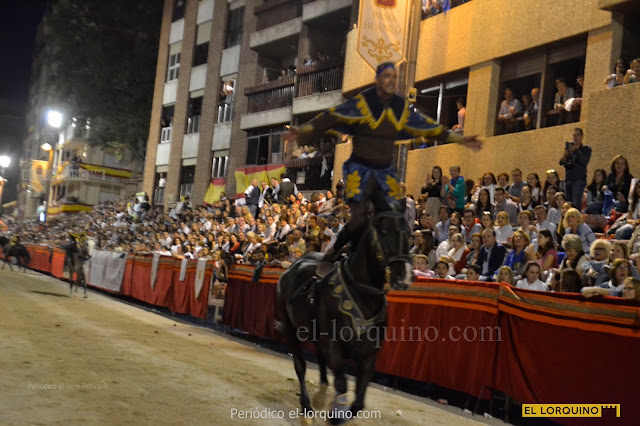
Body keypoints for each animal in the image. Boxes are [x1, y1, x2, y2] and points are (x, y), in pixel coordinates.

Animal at [276, 211, 412, 424]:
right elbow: (341, 384)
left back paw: (321, 394)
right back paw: (307, 406)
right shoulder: (333, 347)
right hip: (290, 329)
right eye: (383, 231)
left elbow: (358, 401)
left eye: (408, 232)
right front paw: (334, 414)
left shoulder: (368, 355)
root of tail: (290, 269)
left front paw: (337, 412)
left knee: (320, 362)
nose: (403, 277)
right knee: (300, 366)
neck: (363, 295)